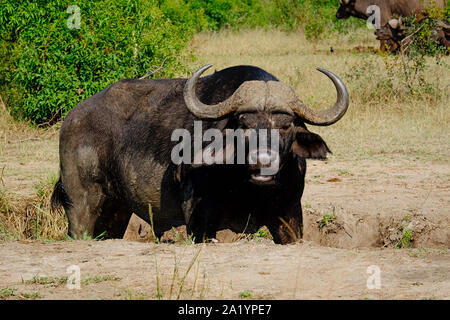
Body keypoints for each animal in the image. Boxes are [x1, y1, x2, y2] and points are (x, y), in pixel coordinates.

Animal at [51, 65, 348, 245]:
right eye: (244, 124)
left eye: (285, 125)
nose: (263, 161)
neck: (251, 191)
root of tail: (72, 118)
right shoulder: (199, 218)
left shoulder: (290, 215)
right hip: (80, 203)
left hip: (117, 209)